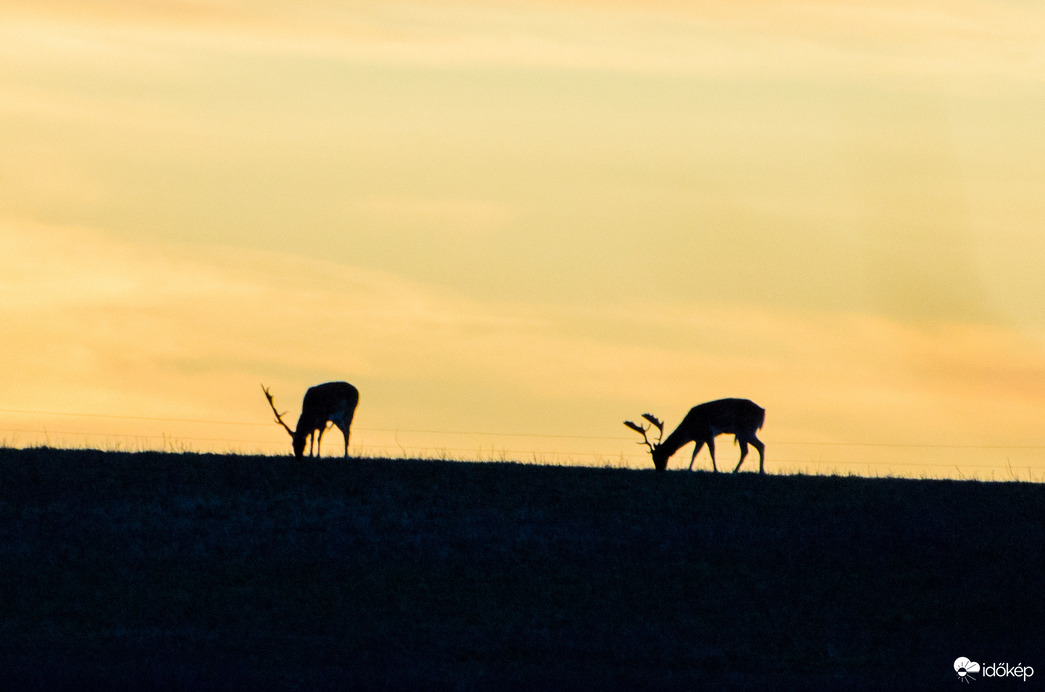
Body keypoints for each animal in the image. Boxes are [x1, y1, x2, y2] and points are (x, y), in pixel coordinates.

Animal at [622, 399, 764, 474]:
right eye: (652, 458)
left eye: (659, 456)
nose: (659, 470)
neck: (690, 429)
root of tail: (762, 411)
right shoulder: (699, 439)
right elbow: (694, 454)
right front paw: (689, 469)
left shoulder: (708, 433)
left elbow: (712, 453)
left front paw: (716, 470)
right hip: (746, 432)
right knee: (758, 446)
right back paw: (758, 470)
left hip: (745, 430)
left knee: (750, 449)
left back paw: (739, 471)